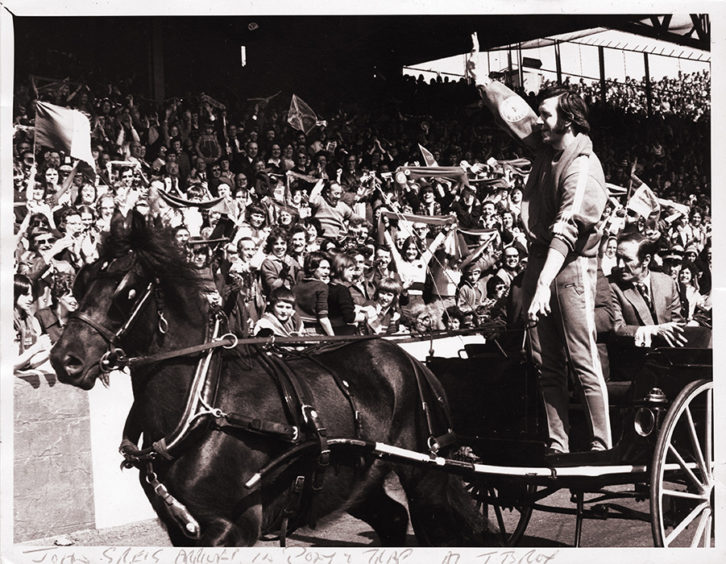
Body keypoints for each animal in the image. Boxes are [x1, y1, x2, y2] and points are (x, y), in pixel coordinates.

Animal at [51, 212, 490, 548]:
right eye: (80, 283)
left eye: (126, 292)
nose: (64, 360)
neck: (203, 408)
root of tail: (411, 361)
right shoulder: (183, 529)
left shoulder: (232, 527)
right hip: (354, 479)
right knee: (394, 518)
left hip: (426, 473)